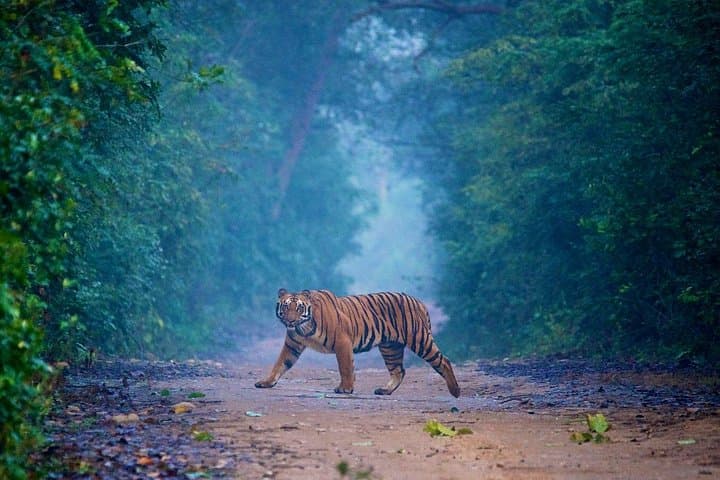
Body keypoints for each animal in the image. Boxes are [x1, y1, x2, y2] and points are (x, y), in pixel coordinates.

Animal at [255, 288, 460, 397]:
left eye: (298, 308)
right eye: (285, 307)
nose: (289, 321)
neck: (302, 328)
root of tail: (419, 301)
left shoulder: (342, 342)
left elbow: (345, 367)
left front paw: (345, 388)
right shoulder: (292, 345)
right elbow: (280, 364)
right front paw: (266, 382)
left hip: (419, 339)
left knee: (443, 360)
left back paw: (455, 391)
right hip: (390, 347)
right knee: (398, 371)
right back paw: (384, 390)